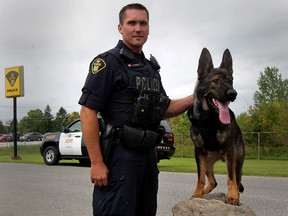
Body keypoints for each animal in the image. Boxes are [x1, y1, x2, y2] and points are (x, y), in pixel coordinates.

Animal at [187, 48, 245, 205]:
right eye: (216, 81)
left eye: (231, 81)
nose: (233, 93)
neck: (209, 120)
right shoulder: (199, 151)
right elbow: (200, 178)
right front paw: (197, 194)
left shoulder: (230, 150)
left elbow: (231, 178)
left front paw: (232, 197)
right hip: (207, 162)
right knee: (213, 181)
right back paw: (204, 192)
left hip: (237, 160)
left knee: (237, 180)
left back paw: (235, 195)